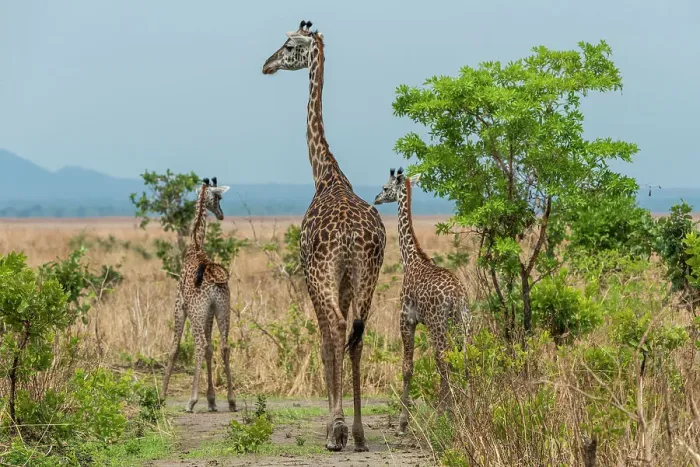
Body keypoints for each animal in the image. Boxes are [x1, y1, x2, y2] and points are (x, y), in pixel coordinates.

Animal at [161, 177, 236, 414]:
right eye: (219, 198)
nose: (221, 215)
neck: (194, 245)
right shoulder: (210, 311)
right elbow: (212, 349)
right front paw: (212, 399)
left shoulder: (180, 305)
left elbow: (174, 348)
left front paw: (161, 395)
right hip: (223, 308)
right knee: (223, 346)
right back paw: (232, 400)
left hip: (196, 312)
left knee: (200, 345)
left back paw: (191, 401)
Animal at [263, 21, 386, 452]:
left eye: (288, 47)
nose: (266, 65)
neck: (327, 174)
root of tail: (350, 236)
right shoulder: (348, 282)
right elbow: (348, 339)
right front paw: (348, 426)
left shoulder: (309, 274)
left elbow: (324, 341)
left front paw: (333, 428)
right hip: (367, 275)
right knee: (358, 335)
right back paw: (361, 433)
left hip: (324, 273)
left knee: (334, 330)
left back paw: (339, 432)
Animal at [374, 168, 470, 435]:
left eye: (385, 188)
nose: (376, 199)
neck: (411, 258)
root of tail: (457, 296)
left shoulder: (406, 318)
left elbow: (407, 368)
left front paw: (402, 423)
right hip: (463, 322)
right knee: (464, 359)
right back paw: (467, 407)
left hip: (439, 324)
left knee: (443, 361)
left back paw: (444, 414)